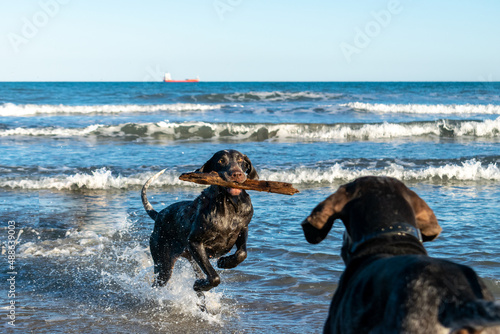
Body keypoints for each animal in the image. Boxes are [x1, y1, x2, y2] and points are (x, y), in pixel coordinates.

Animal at [142, 150, 256, 290]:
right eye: (221, 161)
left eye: (241, 160)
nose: (237, 174)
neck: (228, 204)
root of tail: (159, 215)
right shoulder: (195, 243)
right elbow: (214, 277)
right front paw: (200, 285)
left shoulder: (243, 228)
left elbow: (242, 253)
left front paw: (226, 262)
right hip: (164, 265)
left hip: (191, 261)